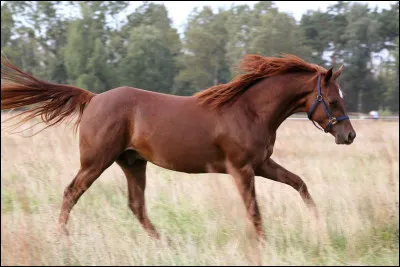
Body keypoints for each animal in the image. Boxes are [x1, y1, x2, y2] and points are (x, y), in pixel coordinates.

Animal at [0, 53, 356, 242]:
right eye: (333, 100)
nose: (349, 135)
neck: (250, 111)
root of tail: (93, 98)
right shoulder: (241, 169)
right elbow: (254, 210)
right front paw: (264, 243)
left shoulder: (261, 165)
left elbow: (300, 184)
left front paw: (318, 226)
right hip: (96, 162)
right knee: (71, 192)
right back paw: (61, 237)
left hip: (133, 163)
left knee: (136, 205)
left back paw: (163, 242)